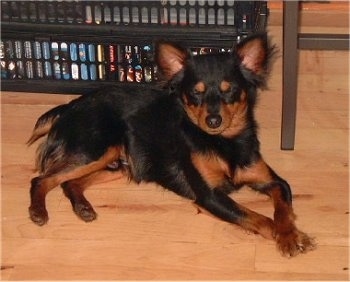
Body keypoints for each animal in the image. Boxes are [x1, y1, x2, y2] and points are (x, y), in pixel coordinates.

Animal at [28, 32, 316, 256]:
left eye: (230, 90)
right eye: (196, 93)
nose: (213, 120)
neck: (223, 141)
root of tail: (70, 106)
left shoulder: (275, 182)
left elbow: (282, 209)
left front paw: (290, 234)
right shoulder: (210, 197)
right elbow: (258, 217)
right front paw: (292, 238)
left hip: (121, 164)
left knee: (68, 182)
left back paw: (83, 207)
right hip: (95, 151)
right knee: (42, 179)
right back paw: (39, 211)